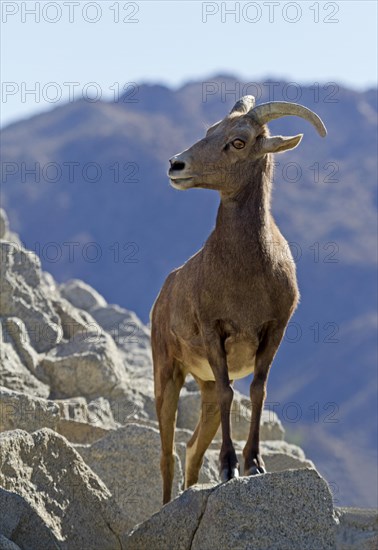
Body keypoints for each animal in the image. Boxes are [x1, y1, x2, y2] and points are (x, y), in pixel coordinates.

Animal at [150, 97, 324, 506]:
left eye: (239, 141)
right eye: (210, 130)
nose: (176, 165)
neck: (245, 274)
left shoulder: (273, 332)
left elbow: (258, 391)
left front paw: (253, 465)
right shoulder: (216, 333)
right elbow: (232, 394)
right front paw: (229, 467)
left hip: (203, 388)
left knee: (192, 449)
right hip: (167, 374)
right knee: (167, 455)